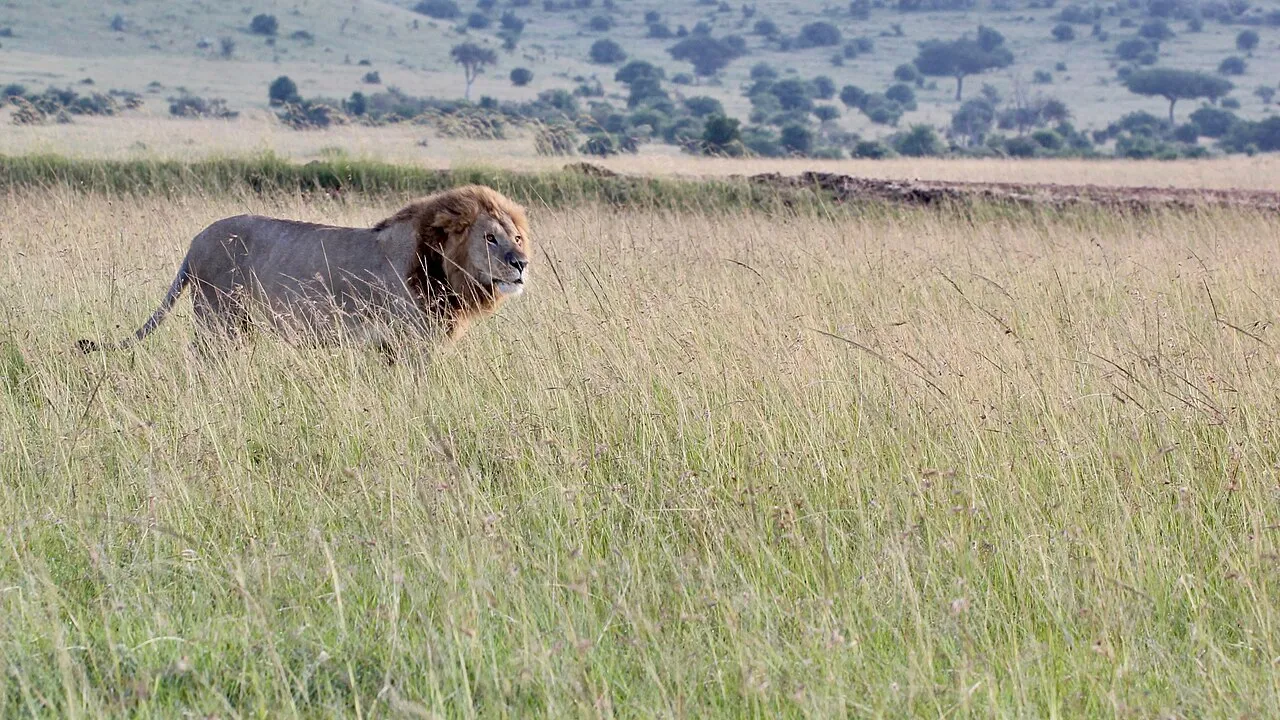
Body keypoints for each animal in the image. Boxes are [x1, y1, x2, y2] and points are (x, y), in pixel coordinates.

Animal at [77, 184, 531, 356]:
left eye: (517, 237)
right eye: (490, 239)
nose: (521, 265)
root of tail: (195, 241)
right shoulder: (409, 342)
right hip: (218, 318)